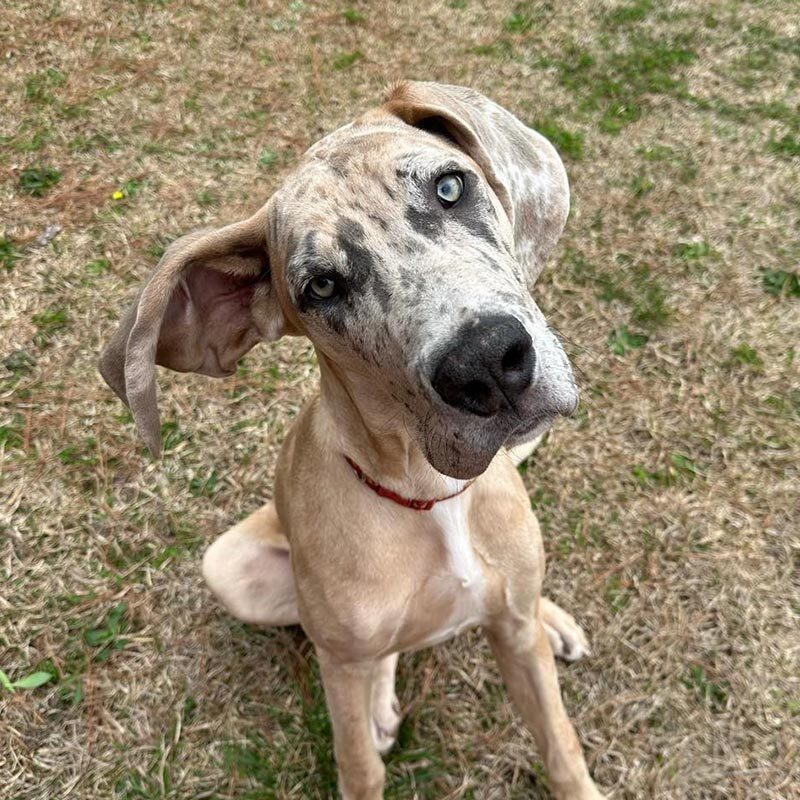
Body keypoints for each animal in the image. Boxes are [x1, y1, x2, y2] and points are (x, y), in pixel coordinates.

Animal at [98, 83, 600, 800]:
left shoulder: (518, 643)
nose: (486, 365)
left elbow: (560, 744)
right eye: (322, 286)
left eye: (450, 187)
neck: (428, 495)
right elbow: (358, 765)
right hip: (234, 570)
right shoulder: (338, 668)